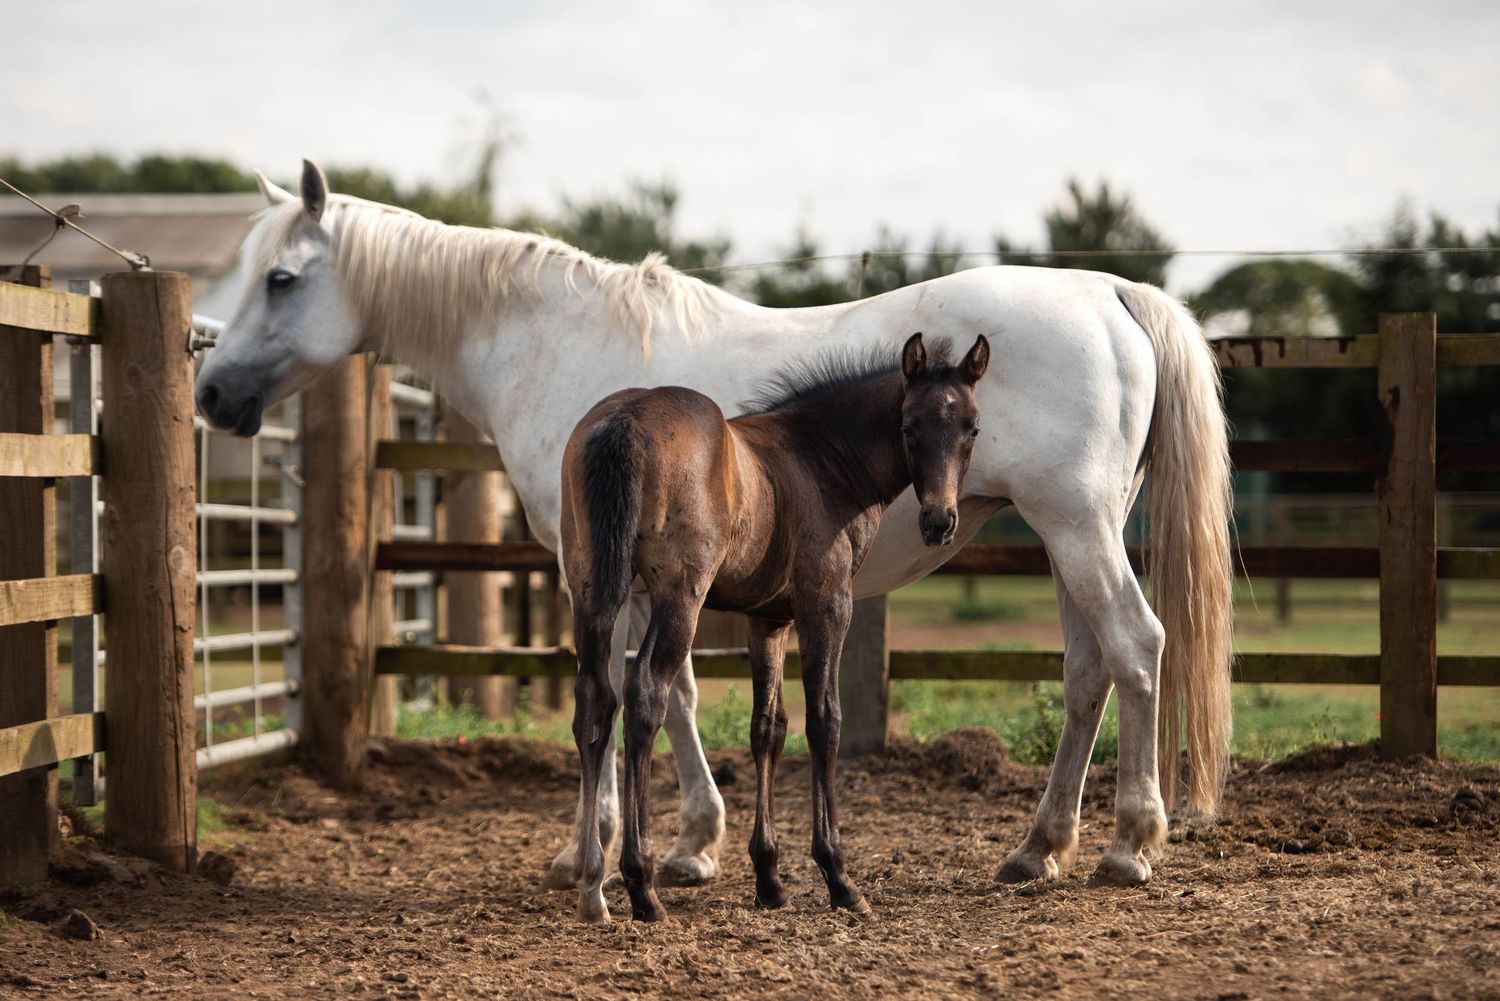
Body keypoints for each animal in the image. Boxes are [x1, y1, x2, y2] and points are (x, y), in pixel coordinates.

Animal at [563, 333, 989, 922]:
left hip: (589, 586)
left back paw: (590, 887)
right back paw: (641, 886)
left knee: (594, 700)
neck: (821, 461)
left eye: (971, 428)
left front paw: (768, 878)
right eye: (909, 427)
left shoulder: (768, 618)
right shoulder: (826, 603)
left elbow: (767, 727)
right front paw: (838, 876)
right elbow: (825, 721)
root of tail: (624, 419)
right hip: (679, 595)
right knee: (644, 694)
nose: (939, 522)